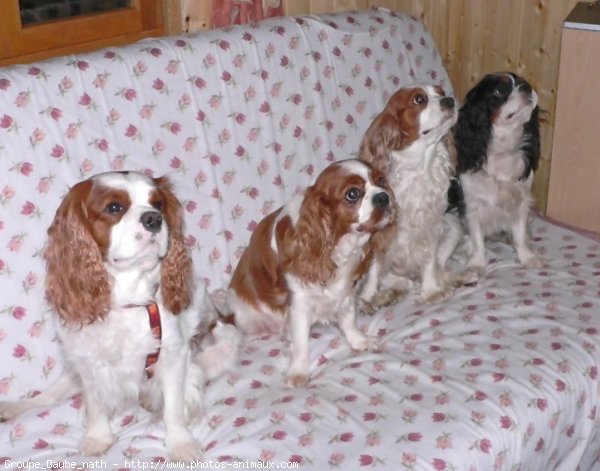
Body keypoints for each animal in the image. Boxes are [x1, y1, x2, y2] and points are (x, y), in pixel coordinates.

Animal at [0, 171, 239, 462]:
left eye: (158, 204)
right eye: (114, 207)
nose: (153, 219)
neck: (127, 299)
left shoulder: (174, 354)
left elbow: (174, 406)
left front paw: (180, 443)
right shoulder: (86, 358)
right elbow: (95, 402)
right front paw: (97, 436)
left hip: (219, 347)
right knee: (50, 395)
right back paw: (14, 406)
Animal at [227, 160, 392, 390]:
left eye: (381, 181)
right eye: (352, 194)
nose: (383, 197)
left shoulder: (346, 293)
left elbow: (348, 319)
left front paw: (359, 341)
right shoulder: (299, 304)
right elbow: (301, 344)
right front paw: (298, 372)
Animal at [358, 84, 472, 306]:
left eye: (440, 92)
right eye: (419, 99)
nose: (449, 100)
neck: (419, 167)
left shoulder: (430, 226)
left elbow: (429, 260)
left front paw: (432, 291)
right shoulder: (378, 233)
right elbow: (374, 271)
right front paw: (367, 298)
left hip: (453, 226)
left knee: (437, 266)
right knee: (399, 281)